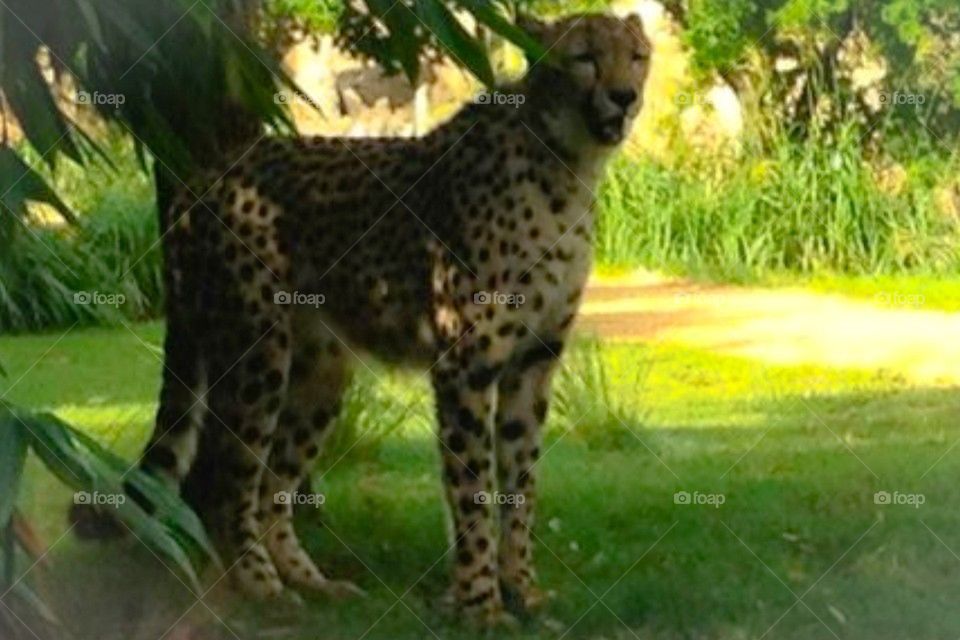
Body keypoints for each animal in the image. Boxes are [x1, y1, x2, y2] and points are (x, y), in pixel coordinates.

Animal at [138, 12, 651, 625]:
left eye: (637, 57)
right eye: (584, 57)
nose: (624, 97)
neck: (565, 163)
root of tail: (206, 176)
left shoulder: (533, 361)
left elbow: (521, 485)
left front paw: (523, 592)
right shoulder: (465, 364)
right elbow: (472, 487)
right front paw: (480, 604)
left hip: (320, 372)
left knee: (270, 487)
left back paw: (313, 582)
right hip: (256, 351)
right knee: (227, 481)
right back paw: (265, 589)